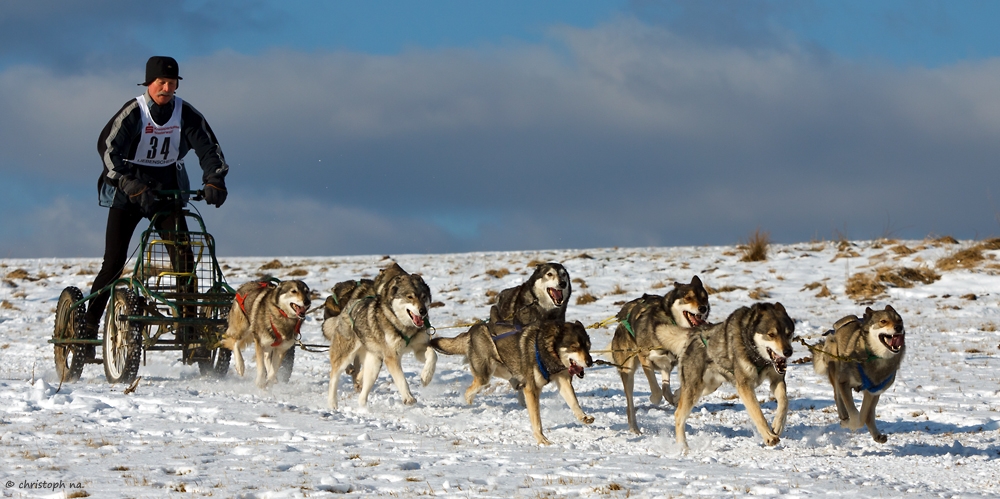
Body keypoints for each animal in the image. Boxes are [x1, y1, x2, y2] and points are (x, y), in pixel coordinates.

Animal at [326, 266, 436, 410]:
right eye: (410, 297)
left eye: (424, 297)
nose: (423, 311)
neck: (404, 326)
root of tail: (348, 306)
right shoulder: (392, 357)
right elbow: (401, 379)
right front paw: (408, 397)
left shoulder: (419, 348)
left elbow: (433, 355)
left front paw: (426, 376)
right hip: (345, 355)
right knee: (334, 376)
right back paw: (332, 403)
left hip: (374, 364)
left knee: (363, 391)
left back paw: (364, 408)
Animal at [428, 316, 592, 446]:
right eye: (574, 347)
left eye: (588, 346)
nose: (590, 362)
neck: (546, 349)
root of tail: (474, 329)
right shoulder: (531, 389)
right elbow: (537, 420)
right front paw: (541, 439)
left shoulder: (563, 381)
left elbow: (574, 402)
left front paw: (583, 416)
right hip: (486, 375)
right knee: (471, 389)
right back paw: (467, 400)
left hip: (503, 369)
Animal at [608, 278, 712, 434]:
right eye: (688, 297)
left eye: (704, 298)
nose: (703, 308)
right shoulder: (645, 357)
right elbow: (657, 391)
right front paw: (653, 398)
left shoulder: (672, 364)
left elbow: (668, 390)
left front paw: (676, 396)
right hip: (628, 370)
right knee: (630, 404)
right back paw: (634, 428)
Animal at [676, 302, 792, 452]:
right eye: (771, 334)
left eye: (789, 334)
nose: (788, 352)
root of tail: (695, 333)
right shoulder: (744, 386)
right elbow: (757, 412)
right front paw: (769, 436)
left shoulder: (777, 379)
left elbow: (784, 401)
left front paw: (778, 425)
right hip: (695, 389)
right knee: (679, 415)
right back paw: (683, 447)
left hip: (707, 387)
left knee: (678, 393)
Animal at [812, 304, 908, 442]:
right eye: (883, 321)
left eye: (899, 320)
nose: (898, 327)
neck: (877, 358)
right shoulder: (844, 382)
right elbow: (854, 414)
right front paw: (847, 423)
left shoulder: (873, 392)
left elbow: (864, 416)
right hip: (835, 367)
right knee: (837, 395)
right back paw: (844, 416)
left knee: (869, 412)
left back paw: (876, 434)